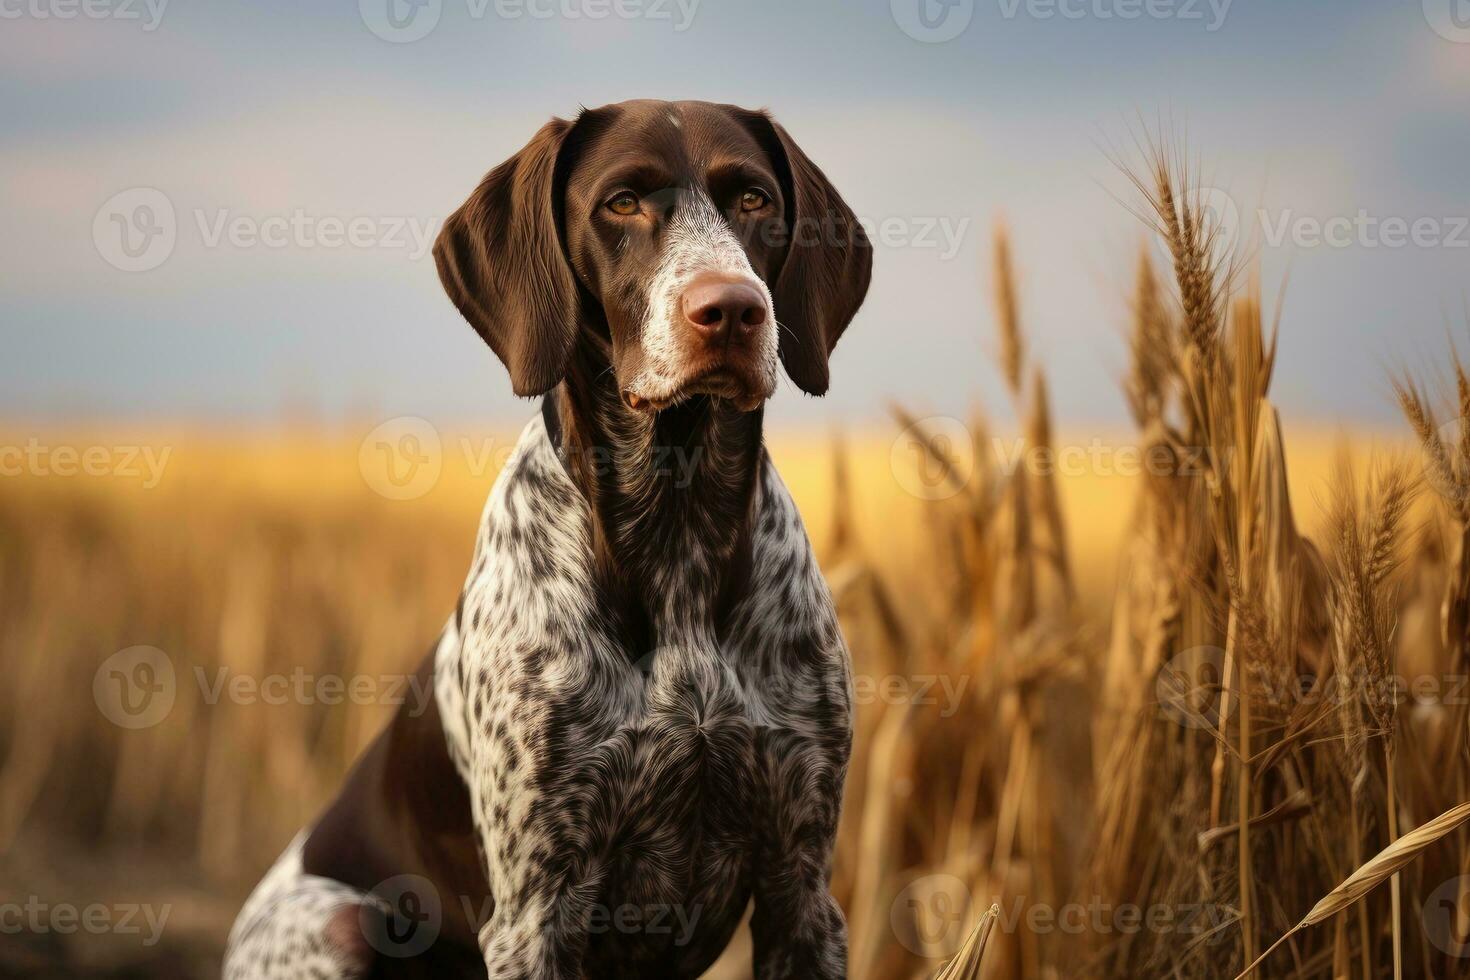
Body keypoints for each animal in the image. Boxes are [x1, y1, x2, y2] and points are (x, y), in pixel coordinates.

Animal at [221, 99, 864, 980]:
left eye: (755, 199)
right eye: (621, 203)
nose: (732, 310)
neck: (679, 529)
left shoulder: (802, 887)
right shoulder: (535, 911)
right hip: (334, 923)